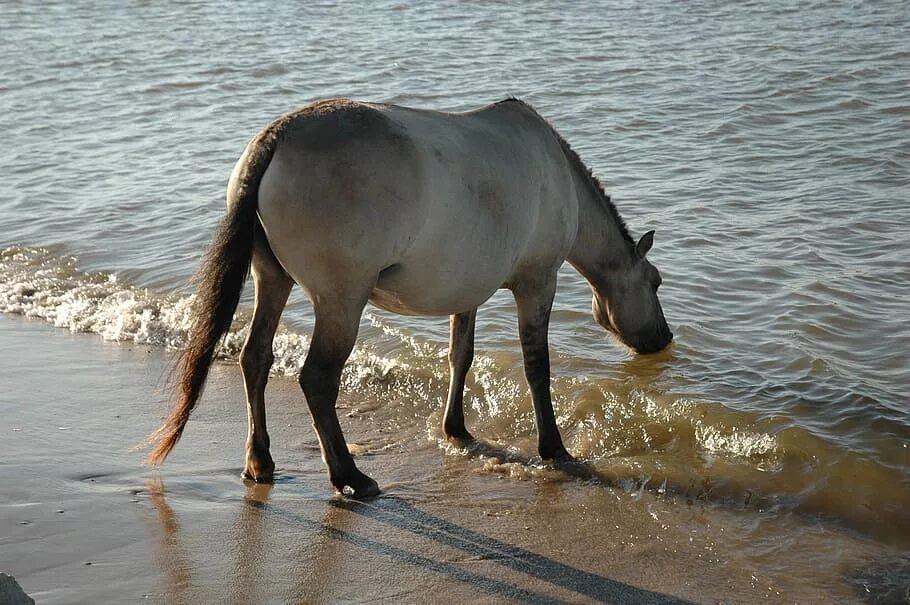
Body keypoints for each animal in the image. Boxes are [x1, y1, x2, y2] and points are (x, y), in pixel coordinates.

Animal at [146, 98, 672, 496]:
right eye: (656, 281)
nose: (663, 338)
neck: (556, 174)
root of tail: (275, 138)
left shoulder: (468, 289)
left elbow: (462, 355)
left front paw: (456, 429)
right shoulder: (538, 282)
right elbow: (537, 368)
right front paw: (554, 447)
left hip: (272, 279)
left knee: (255, 358)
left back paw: (260, 462)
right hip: (341, 300)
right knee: (317, 378)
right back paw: (349, 476)